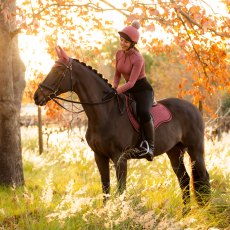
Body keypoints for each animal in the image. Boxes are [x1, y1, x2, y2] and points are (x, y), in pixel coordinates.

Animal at [32, 45, 210, 215]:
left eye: (58, 71)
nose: (36, 96)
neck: (106, 113)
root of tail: (194, 108)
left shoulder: (120, 158)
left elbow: (121, 189)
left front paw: (120, 215)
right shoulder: (99, 156)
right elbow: (106, 188)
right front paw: (107, 214)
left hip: (195, 150)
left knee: (203, 176)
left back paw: (208, 211)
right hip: (174, 151)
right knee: (184, 179)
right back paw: (185, 213)